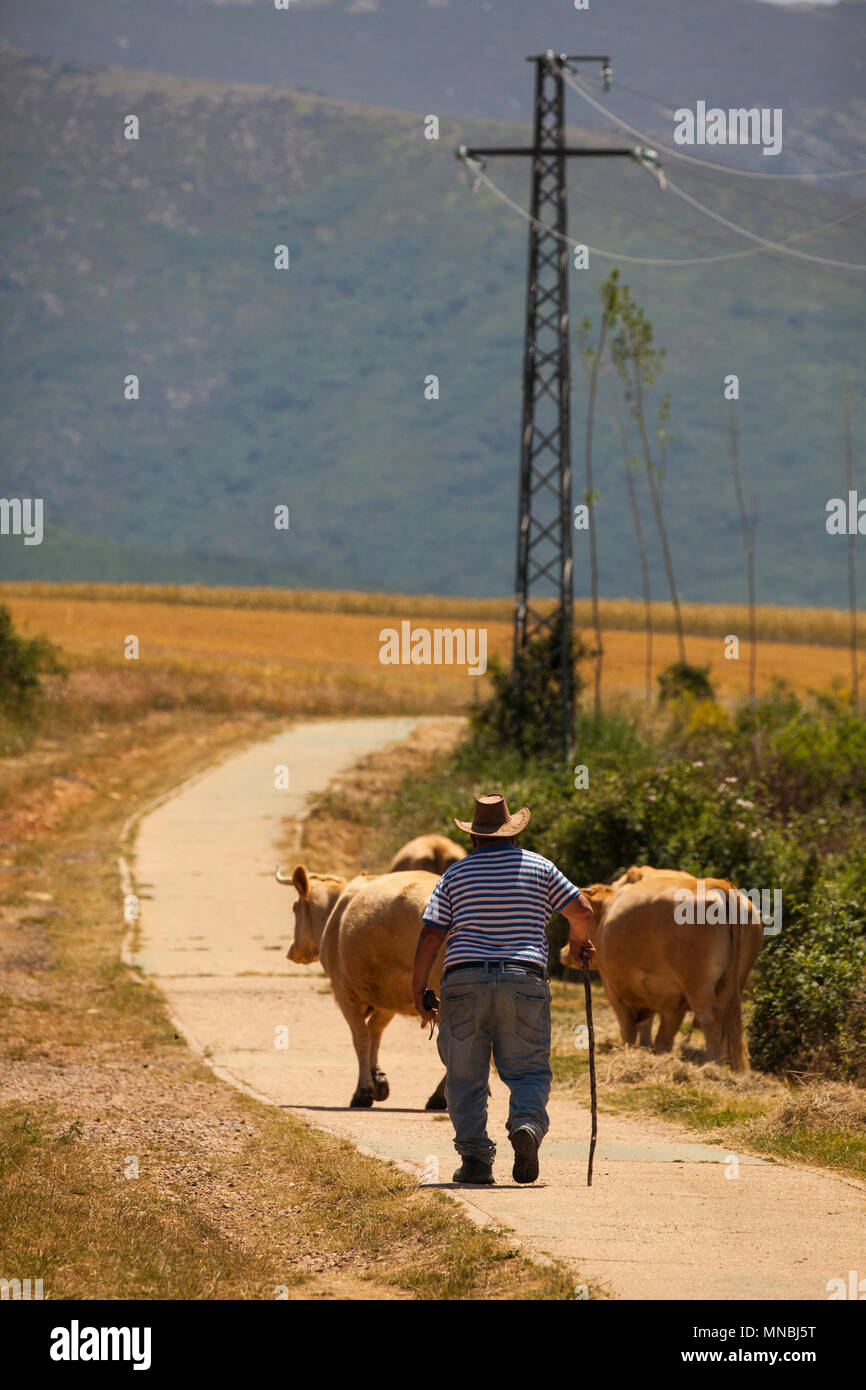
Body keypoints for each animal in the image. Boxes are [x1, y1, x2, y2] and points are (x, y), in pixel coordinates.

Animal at [276, 867, 450, 1106]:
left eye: (295, 908)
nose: (291, 951)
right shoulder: (388, 996)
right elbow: (375, 1032)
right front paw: (377, 1077)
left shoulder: (343, 991)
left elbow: (361, 1037)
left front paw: (363, 1090)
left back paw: (440, 1096)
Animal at [561, 872, 756, 1067]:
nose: (564, 952)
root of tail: (719, 884)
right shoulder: (669, 997)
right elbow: (661, 1033)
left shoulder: (613, 988)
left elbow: (629, 1029)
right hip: (728, 986)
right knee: (727, 1023)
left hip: (698, 986)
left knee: (711, 1019)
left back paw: (710, 1063)